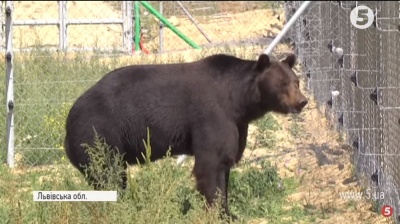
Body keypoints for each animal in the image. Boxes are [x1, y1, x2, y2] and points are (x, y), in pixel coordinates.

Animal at [64, 52, 308, 219]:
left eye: (296, 82)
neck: (238, 101)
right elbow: (211, 165)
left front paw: (229, 211)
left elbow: (226, 162)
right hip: (100, 134)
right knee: (108, 175)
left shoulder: (238, 125)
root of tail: (68, 120)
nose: (302, 101)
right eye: (282, 84)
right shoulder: (212, 116)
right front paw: (219, 212)